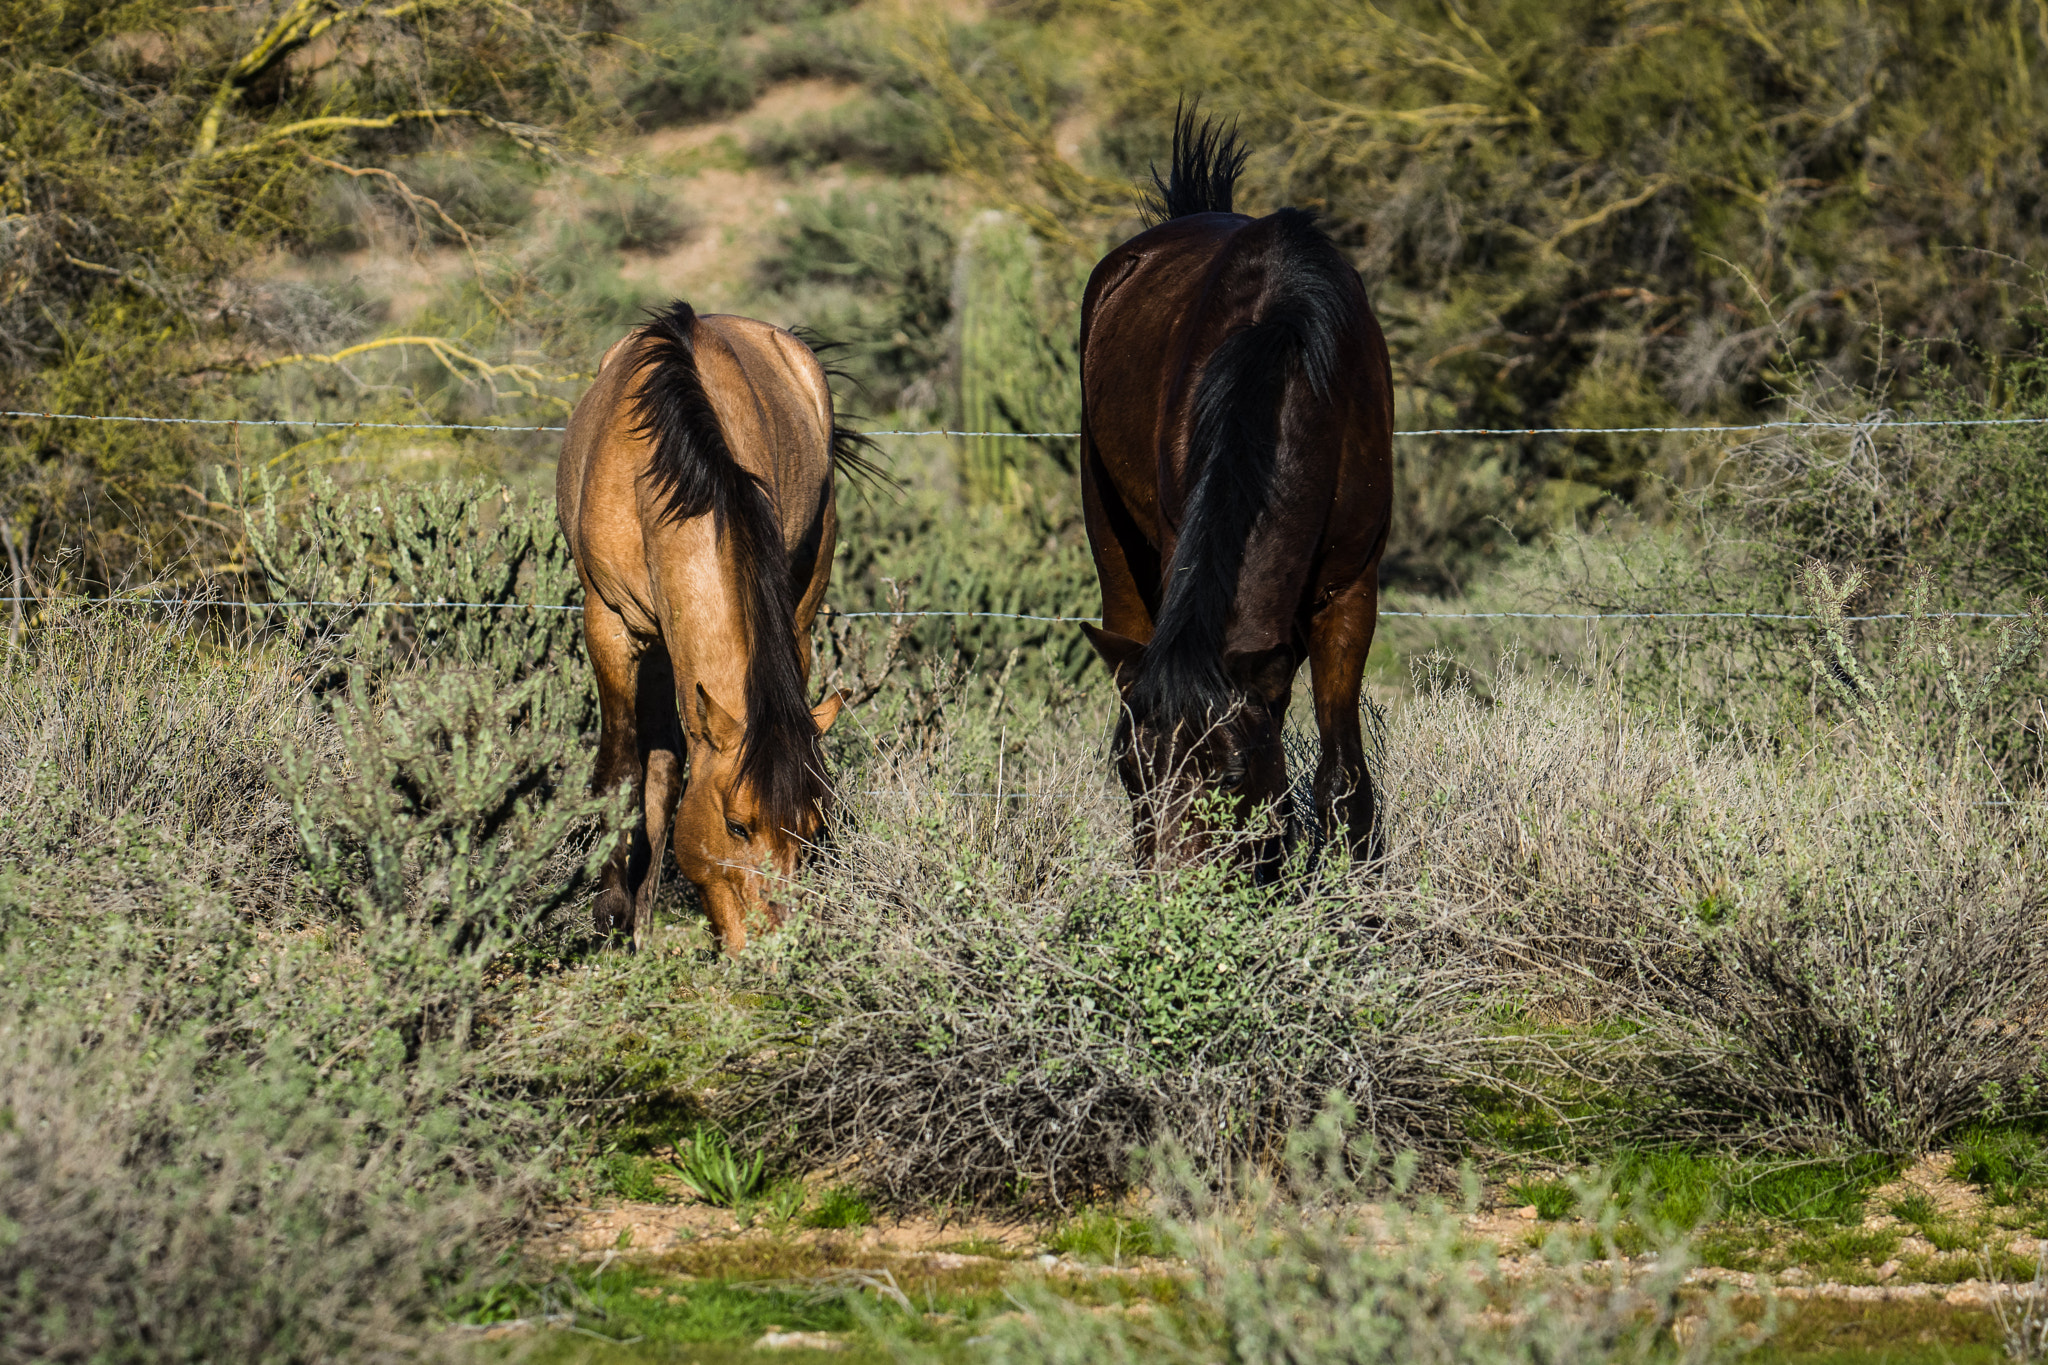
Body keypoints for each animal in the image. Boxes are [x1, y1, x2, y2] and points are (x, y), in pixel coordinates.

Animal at [552, 304, 856, 957]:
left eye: (812, 827)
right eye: (737, 825)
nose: (775, 944)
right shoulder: (609, 623)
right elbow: (622, 766)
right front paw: (611, 909)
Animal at [1073, 112, 1392, 871]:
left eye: (1231, 774)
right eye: (1131, 770)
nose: (1173, 891)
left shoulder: (1351, 591)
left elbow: (1342, 776)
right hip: (1110, 535)